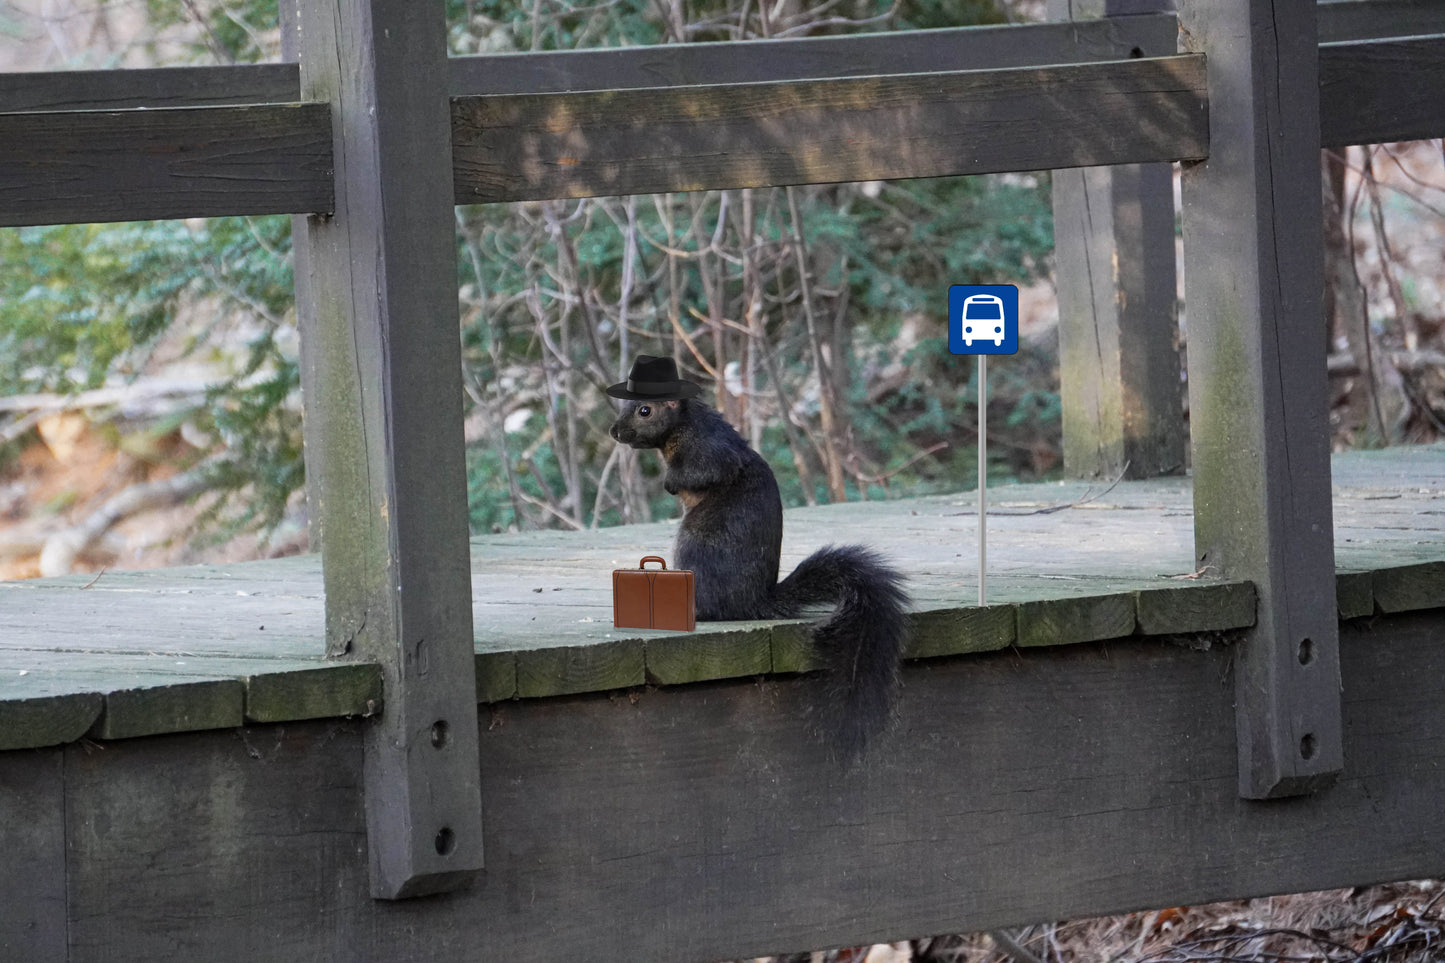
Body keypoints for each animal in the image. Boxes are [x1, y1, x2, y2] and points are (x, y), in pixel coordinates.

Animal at [610, 394, 910, 760]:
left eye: (645, 411)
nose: (614, 431)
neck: (681, 428)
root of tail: (756, 601)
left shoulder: (711, 450)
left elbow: (702, 472)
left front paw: (670, 482)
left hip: (696, 544)